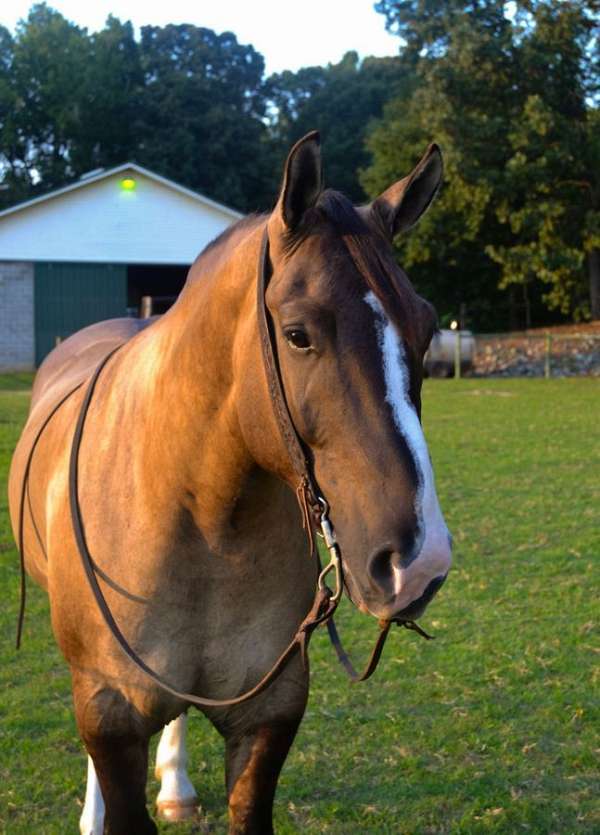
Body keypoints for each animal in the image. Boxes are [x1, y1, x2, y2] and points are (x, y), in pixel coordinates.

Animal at [9, 131, 452, 834]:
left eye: (428, 327)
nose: (418, 563)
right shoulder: (110, 713)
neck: (201, 518)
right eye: (297, 334)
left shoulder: (267, 716)